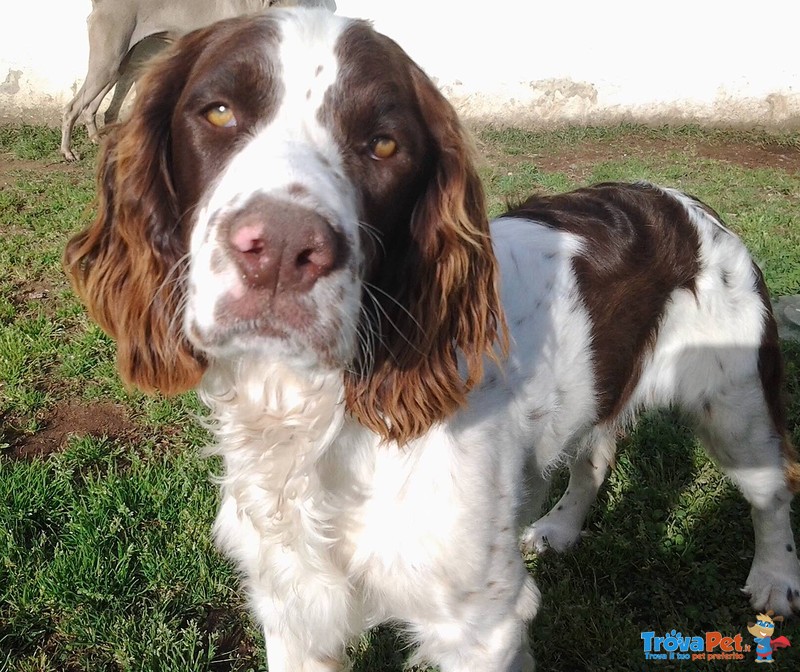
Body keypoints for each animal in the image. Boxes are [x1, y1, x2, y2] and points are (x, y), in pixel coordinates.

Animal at [59, 0, 334, 160]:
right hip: (108, 58)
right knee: (72, 107)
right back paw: (68, 151)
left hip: (117, 64)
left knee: (92, 107)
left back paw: (96, 138)